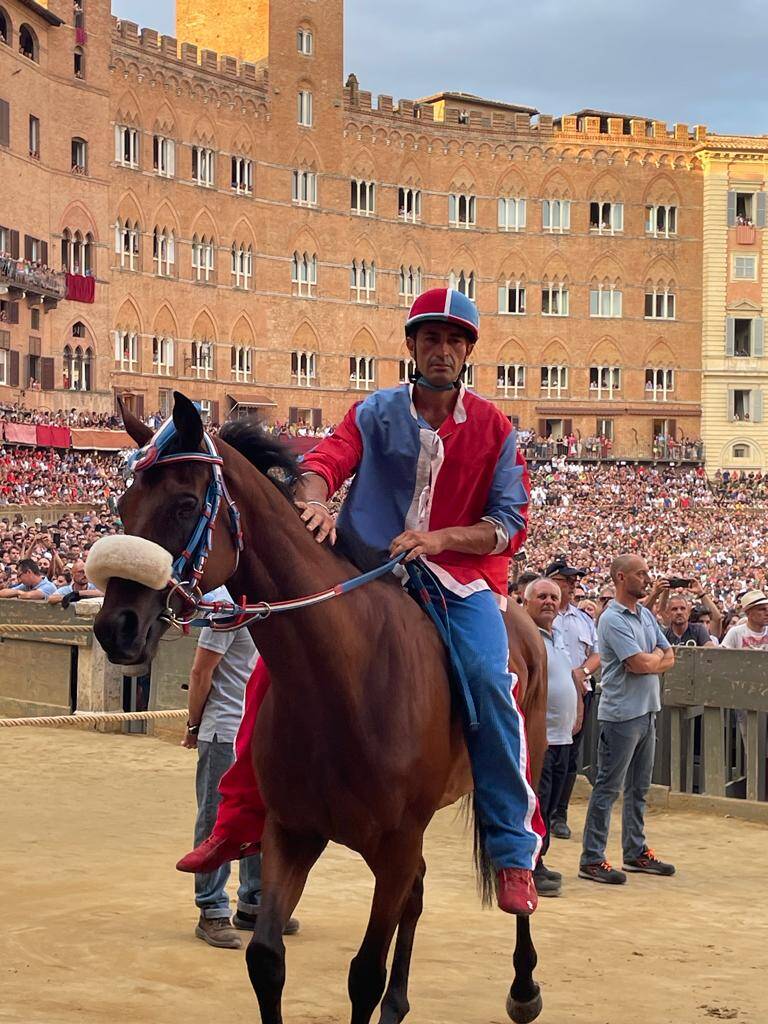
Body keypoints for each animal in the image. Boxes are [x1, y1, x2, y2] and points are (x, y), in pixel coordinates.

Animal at [96, 393, 548, 1024]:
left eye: (185, 504)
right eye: (124, 504)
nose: (116, 627)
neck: (347, 681)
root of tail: (528, 622)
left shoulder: (395, 844)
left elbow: (363, 974)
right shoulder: (293, 830)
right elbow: (265, 958)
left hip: (522, 765)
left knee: (522, 847)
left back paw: (523, 976)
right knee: (418, 896)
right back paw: (400, 1003)